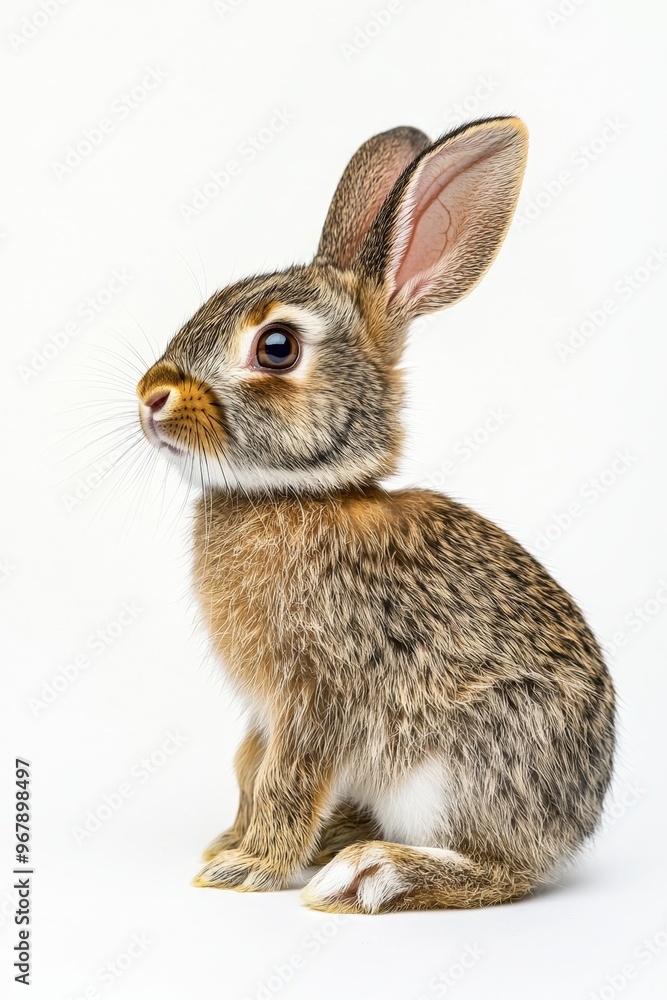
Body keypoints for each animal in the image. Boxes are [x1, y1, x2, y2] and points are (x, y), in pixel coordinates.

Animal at [136, 117, 615, 913]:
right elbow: (248, 765)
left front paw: (249, 867)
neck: (299, 491)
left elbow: (287, 775)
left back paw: (373, 871)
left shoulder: (320, 692)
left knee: (501, 872)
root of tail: (570, 831)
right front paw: (231, 843)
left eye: (276, 347)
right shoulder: (264, 711)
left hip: (464, 763)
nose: (150, 397)